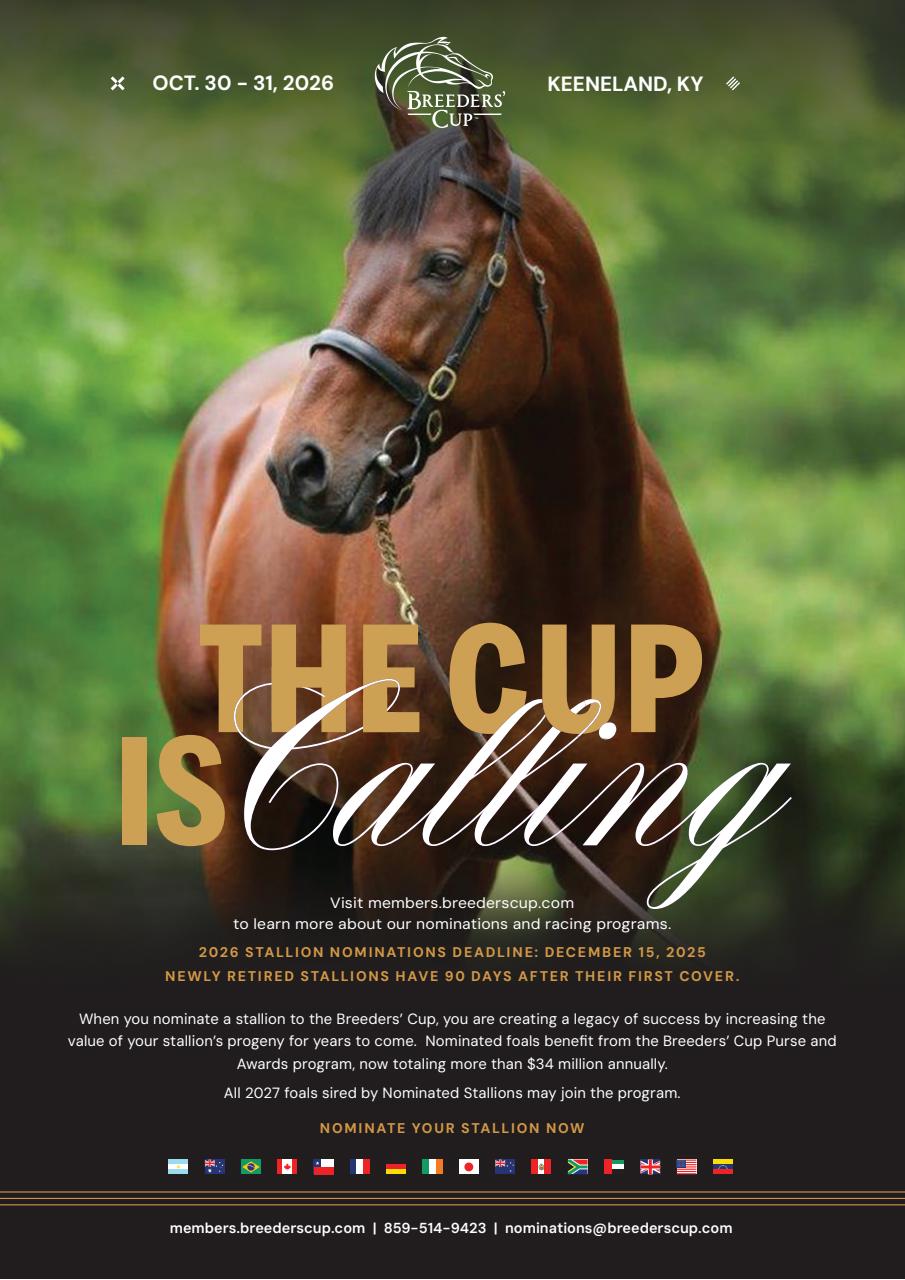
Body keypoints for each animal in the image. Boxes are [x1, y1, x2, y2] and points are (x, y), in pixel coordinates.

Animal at [157, 93, 720, 919]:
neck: (574, 586)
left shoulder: (620, 859)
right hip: (239, 814)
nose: (299, 467)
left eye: (443, 265)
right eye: (351, 262)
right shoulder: (397, 844)